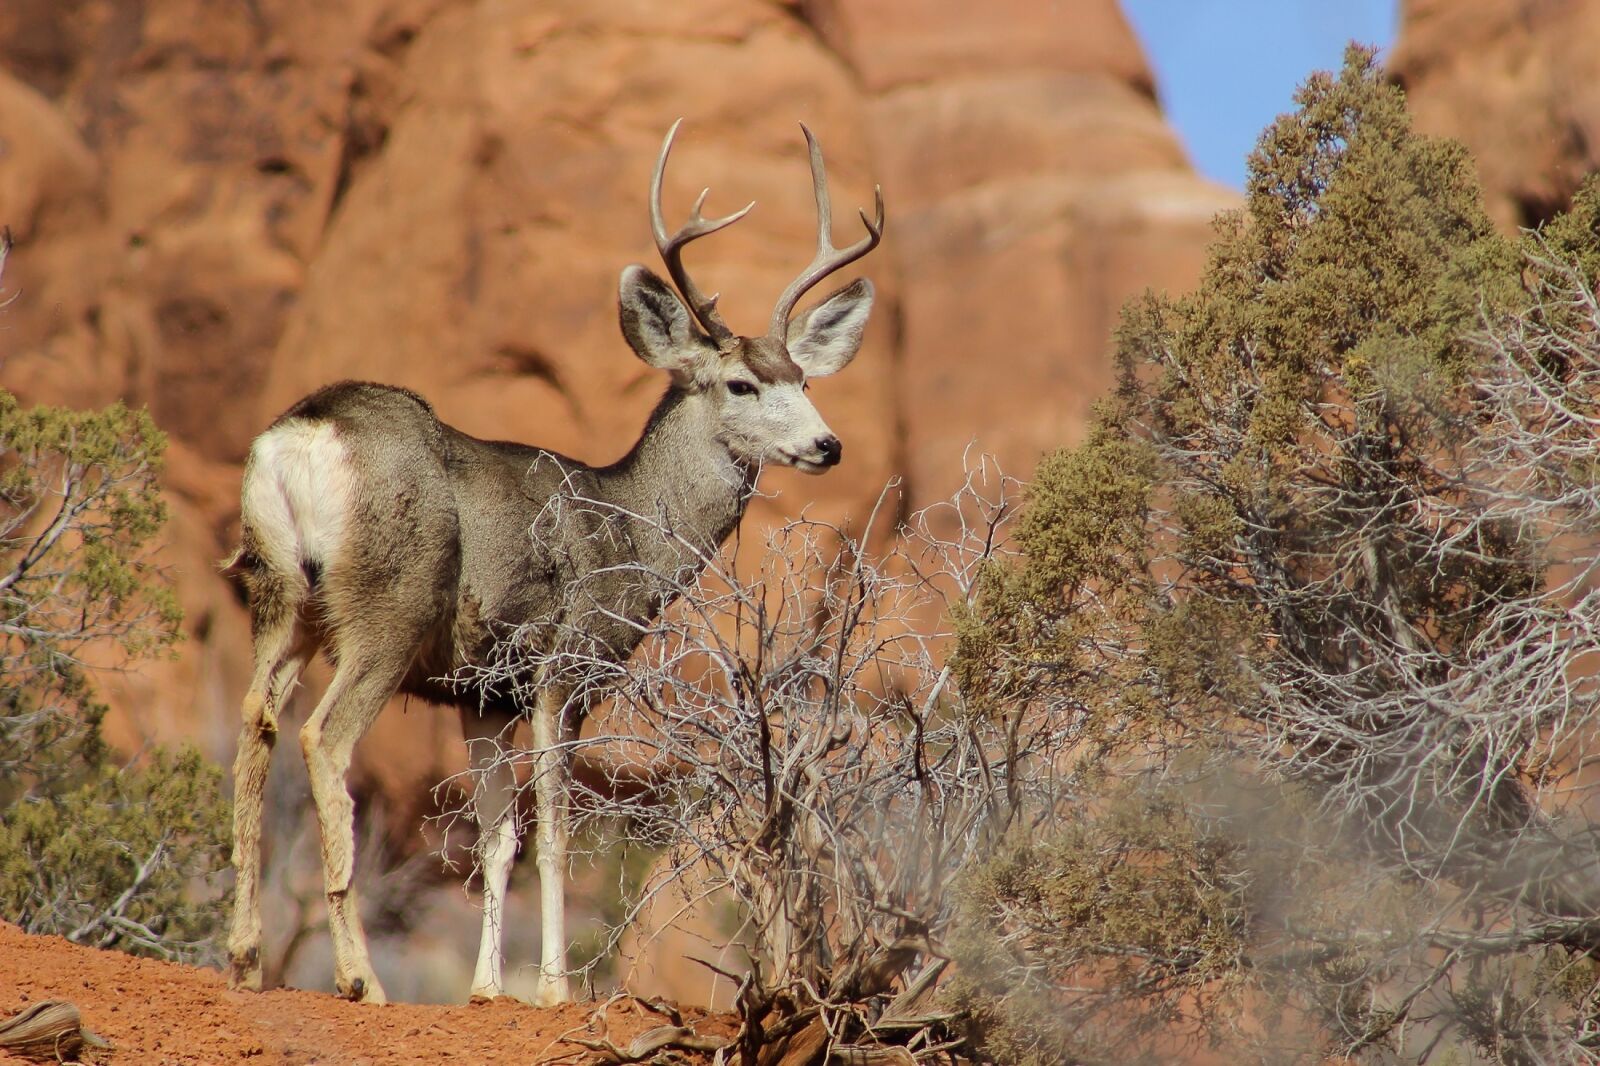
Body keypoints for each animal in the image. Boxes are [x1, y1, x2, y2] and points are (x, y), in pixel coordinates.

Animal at [223, 120, 883, 1006]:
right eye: (742, 383)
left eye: (805, 378)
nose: (827, 444)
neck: (632, 535)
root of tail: (304, 435)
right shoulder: (567, 664)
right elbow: (558, 835)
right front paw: (552, 988)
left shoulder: (481, 691)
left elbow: (496, 840)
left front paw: (485, 989)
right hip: (391, 603)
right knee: (323, 740)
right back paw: (360, 977)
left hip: (279, 595)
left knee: (252, 724)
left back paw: (245, 956)